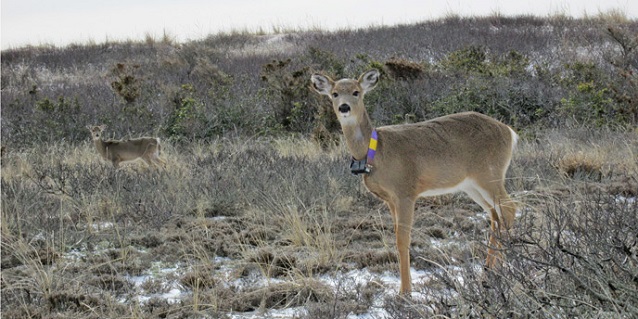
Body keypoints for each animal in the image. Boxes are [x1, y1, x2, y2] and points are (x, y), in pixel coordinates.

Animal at [312, 69, 520, 296]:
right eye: (334, 94)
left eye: (356, 92)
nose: (344, 107)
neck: (376, 152)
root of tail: (510, 132)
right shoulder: (390, 199)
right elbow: (397, 237)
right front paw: (405, 287)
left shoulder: (405, 191)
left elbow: (403, 240)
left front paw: (405, 291)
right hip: (471, 185)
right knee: (495, 216)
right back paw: (487, 273)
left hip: (490, 174)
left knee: (509, 208)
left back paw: (502, 270)